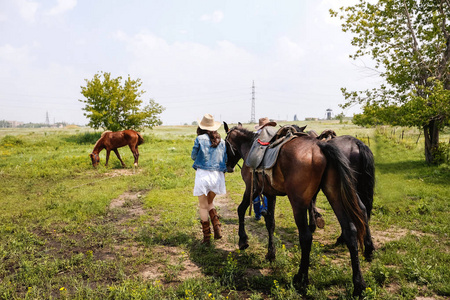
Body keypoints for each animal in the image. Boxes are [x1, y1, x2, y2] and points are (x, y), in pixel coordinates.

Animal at [223, 122, 374, 298]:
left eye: (225, 143)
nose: (227, 166)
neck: (250, 147)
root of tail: (322, 146)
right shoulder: (269, 193)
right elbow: (270, 223)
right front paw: (271, 253)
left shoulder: (251, 189)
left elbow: (241, 210)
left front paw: (243, 240)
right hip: (336, 195)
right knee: (353, 227)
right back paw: (359, 284)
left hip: (298, 202)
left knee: (306, 237)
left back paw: (301, 278)